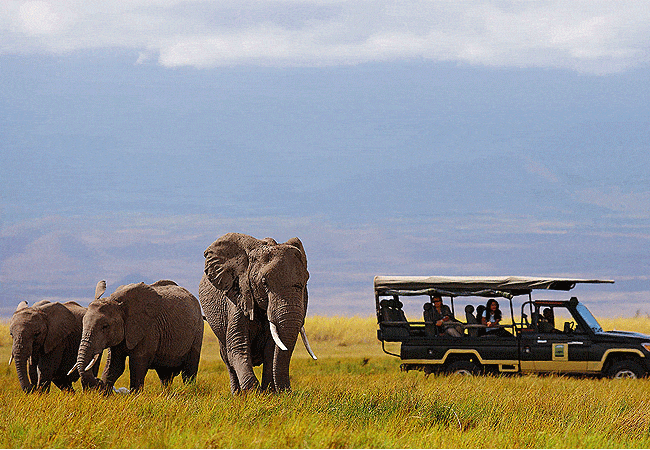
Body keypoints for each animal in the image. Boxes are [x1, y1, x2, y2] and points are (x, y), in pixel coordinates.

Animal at [74, 280, 204, 392]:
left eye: (105, 326)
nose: (98, 381)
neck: (117, 302)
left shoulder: (148, 329)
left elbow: (137, 365)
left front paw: (135, 396)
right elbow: (114, 366)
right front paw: (105, 394)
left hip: (198, 330)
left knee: (189, 371)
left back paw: (189, 391)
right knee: (165, 375)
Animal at [200, 232, 316, 394]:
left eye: (306, 281)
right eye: (264, 283)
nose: (288, 392)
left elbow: (271, 350)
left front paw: (269, 393)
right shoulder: (238, 295)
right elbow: (238, 346)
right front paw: (254, 393)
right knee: (227, 358)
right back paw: (237, 394)